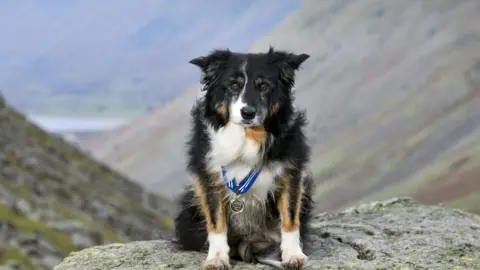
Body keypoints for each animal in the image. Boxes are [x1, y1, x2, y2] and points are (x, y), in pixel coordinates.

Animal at [174, 47, 314, 268]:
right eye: (233, 85)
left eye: (264, 86)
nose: (247, 112)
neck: (247, 137)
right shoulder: (209, 177)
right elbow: (216, 221)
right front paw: (217, 258)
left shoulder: (291, 173)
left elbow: (290, 217)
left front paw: (293, 255)